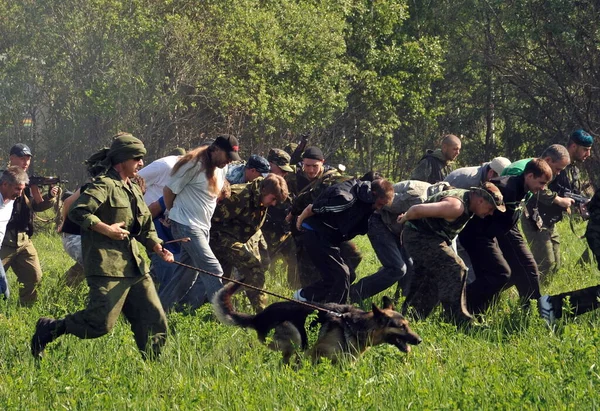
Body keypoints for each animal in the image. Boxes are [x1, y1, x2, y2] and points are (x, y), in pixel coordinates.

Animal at [211, 284, 422, 364]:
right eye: (401, 326)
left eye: (408, 325)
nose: (419, 340)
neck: (357, 325)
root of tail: (258, 317)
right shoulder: (320, 352)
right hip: (294, 334)